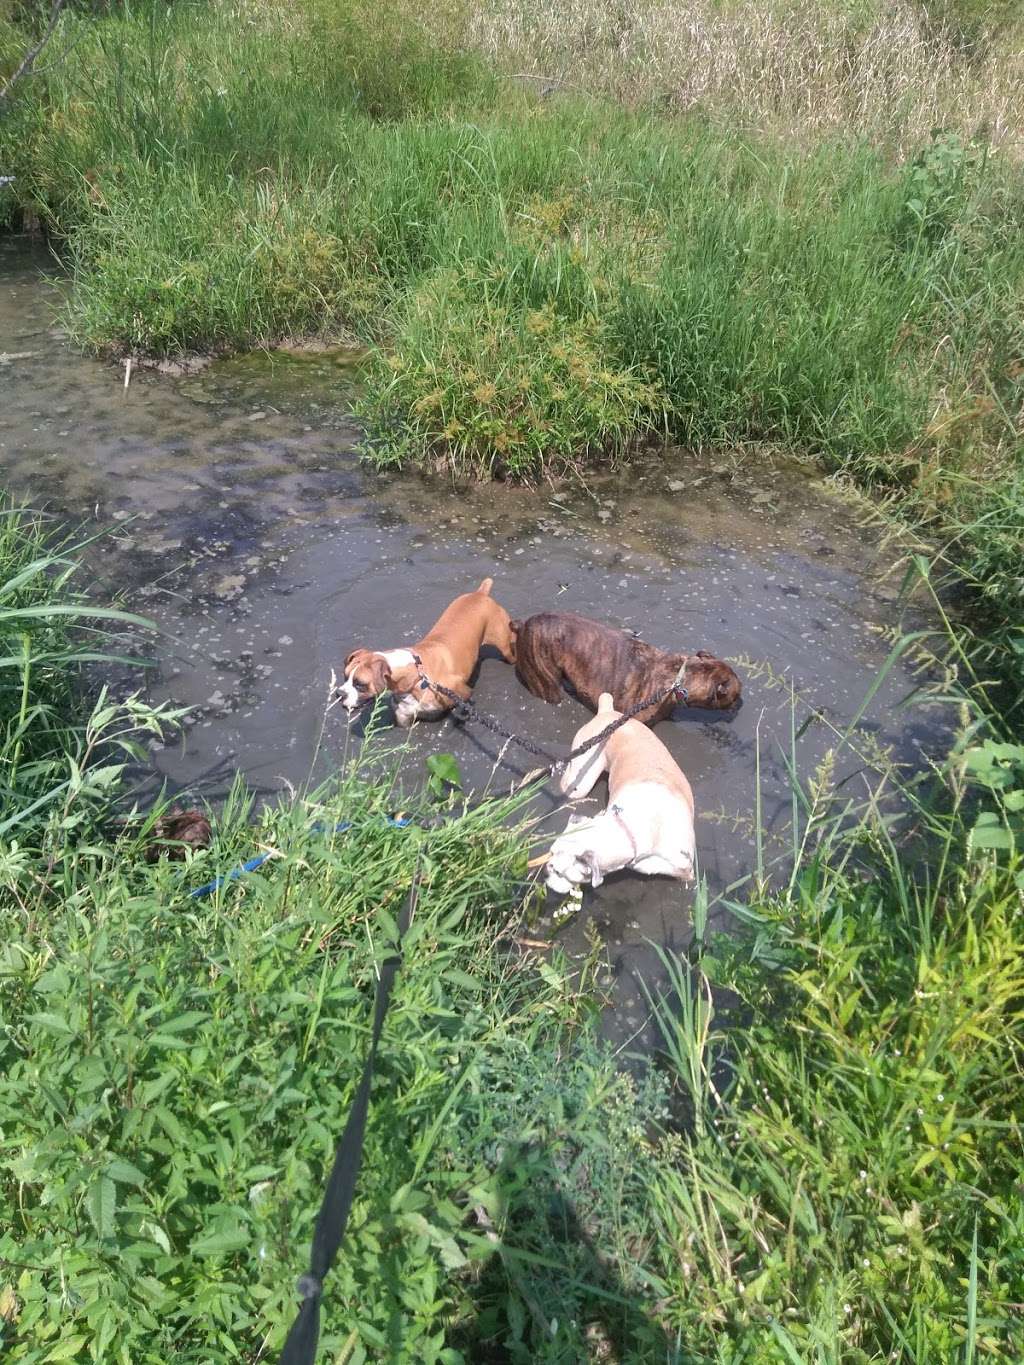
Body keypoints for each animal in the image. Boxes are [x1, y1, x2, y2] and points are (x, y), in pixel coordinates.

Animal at [338, 576, 516, 726]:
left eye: (360, 684)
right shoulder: (405, 718)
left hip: (505, 646)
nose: (339, 694)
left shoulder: (464, 693)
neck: (417, 677)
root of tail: (480, 594)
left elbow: (460, 709)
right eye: (345, 677)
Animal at [546, 693, 699, 895]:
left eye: (559, 872)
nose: (546, 872)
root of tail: (607, 711)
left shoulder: (685, 871)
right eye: (551, 853)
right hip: (579, 781)